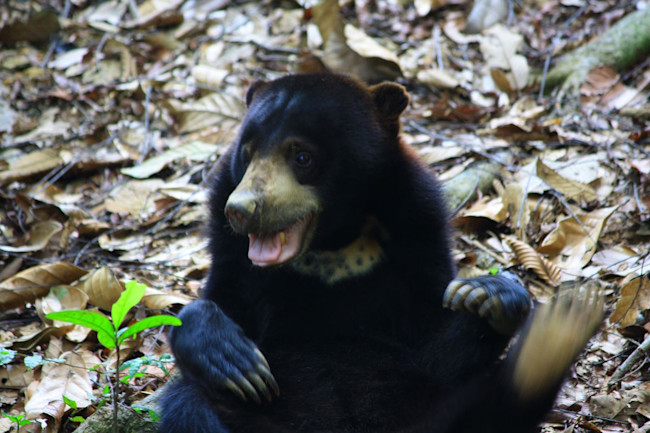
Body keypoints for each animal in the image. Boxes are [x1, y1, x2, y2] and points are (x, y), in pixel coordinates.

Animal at [158, 72, 604, 430]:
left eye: (302, 156)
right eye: (248, 152)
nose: (243, 209)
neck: (333, 241)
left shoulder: (419, 220)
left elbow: (434, 339)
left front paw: (487, 295)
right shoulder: (228, 238)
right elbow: (225, 299)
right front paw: (231, 357)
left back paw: (554, 338)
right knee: (190, 404)